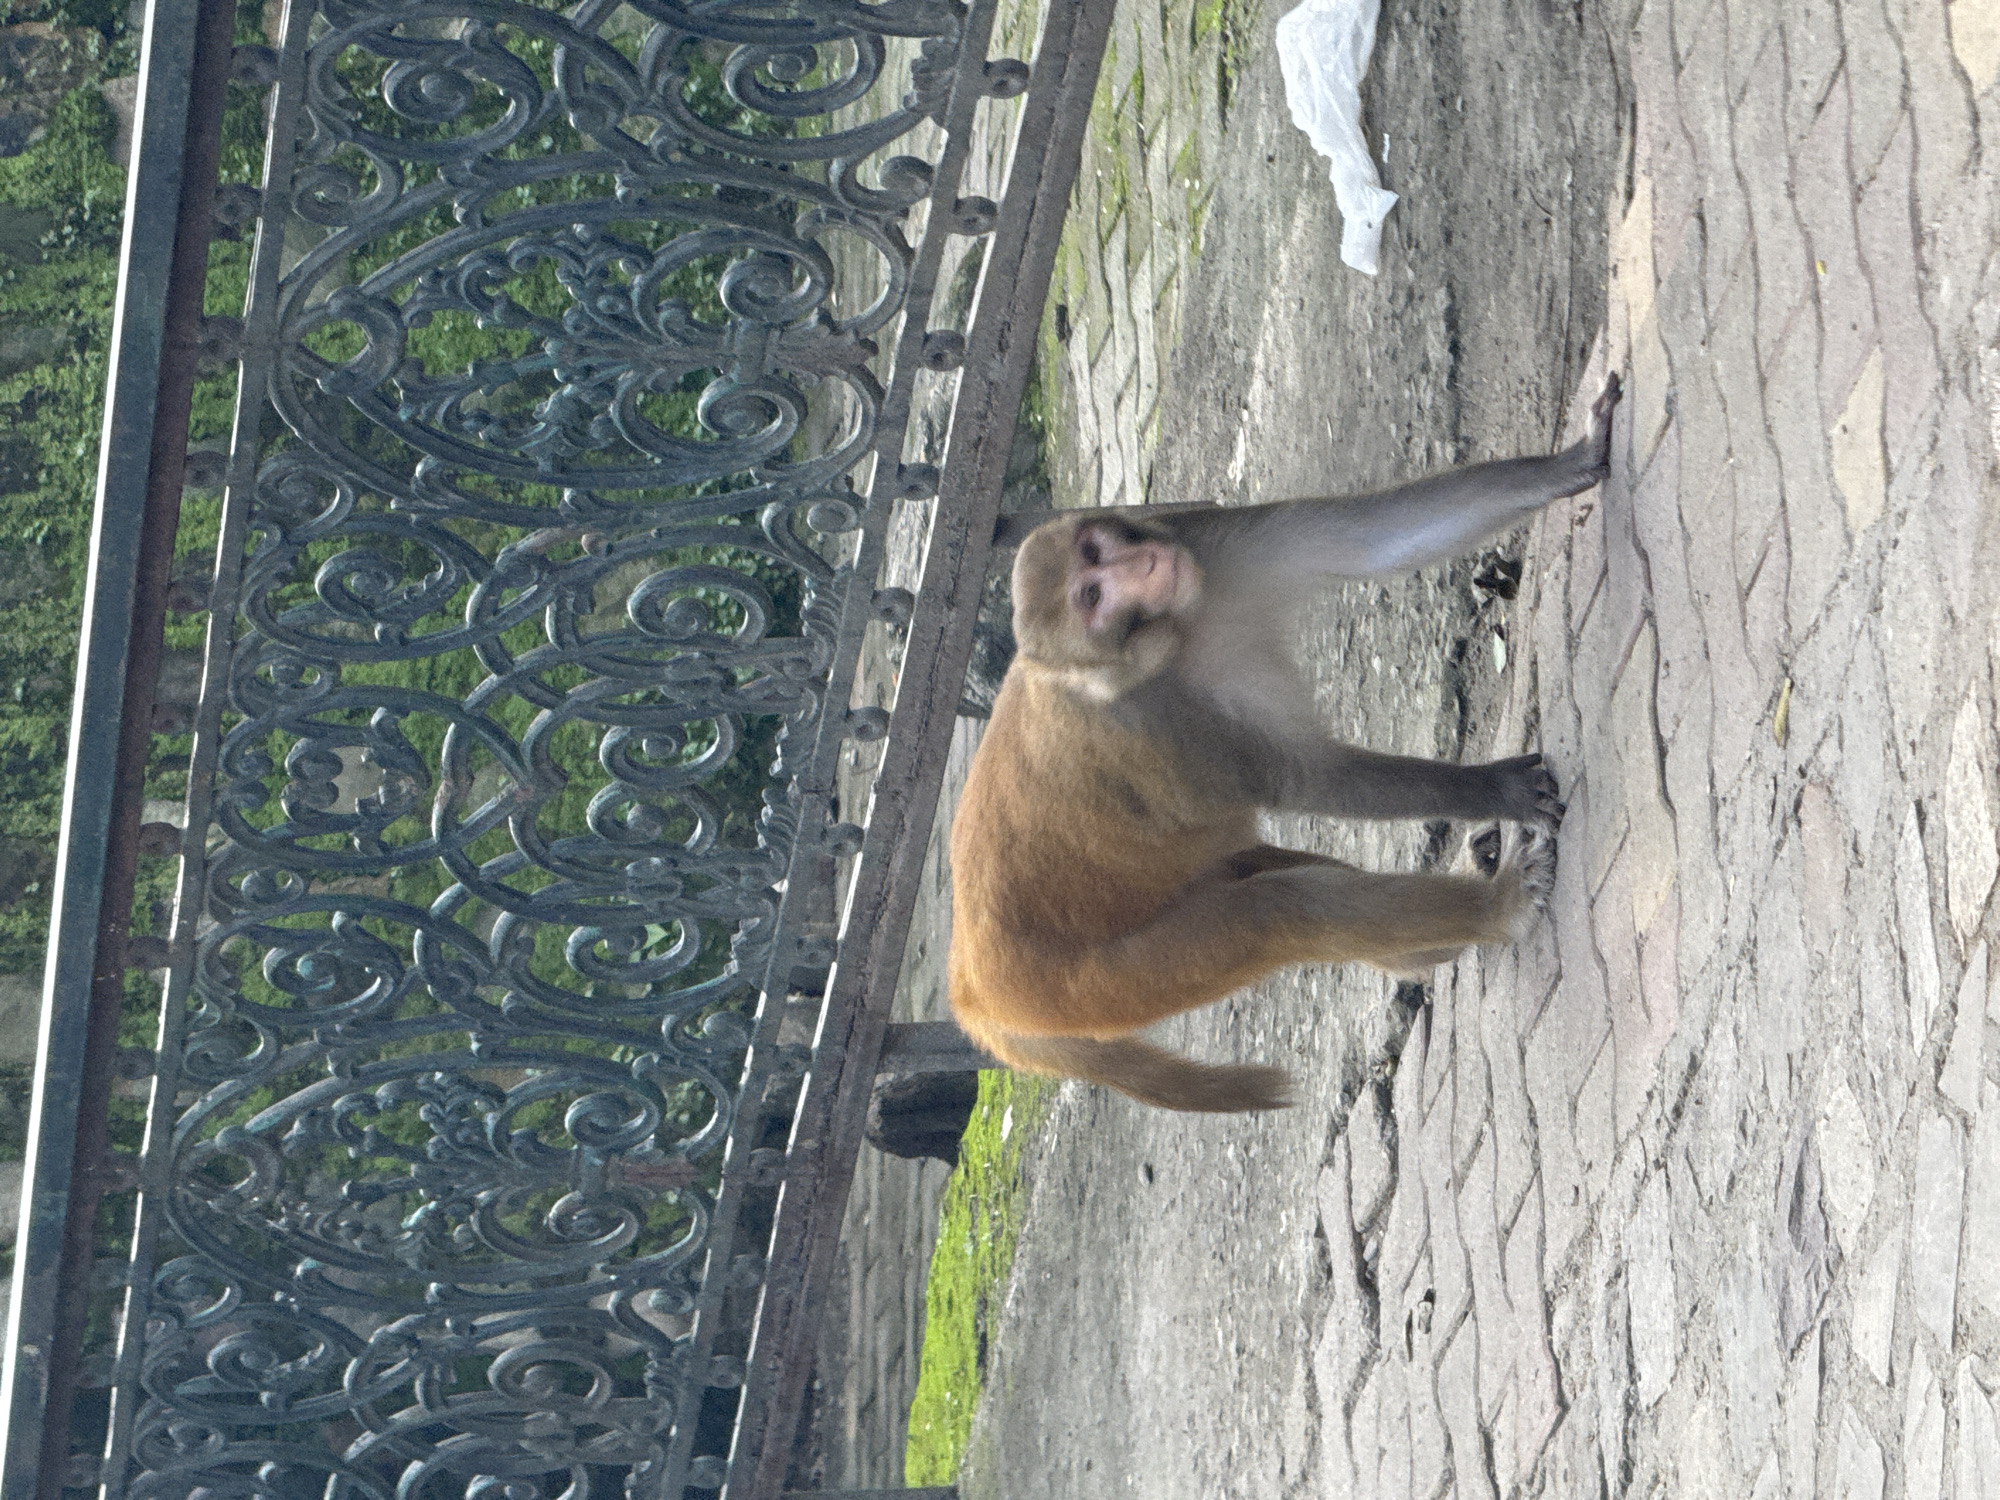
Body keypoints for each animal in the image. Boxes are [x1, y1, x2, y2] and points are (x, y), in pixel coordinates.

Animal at [946, 375, 1623, 1112]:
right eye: (1094, 596)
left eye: (1096, 556)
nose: (1146, 562)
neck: (1172, 641)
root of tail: (972, 993)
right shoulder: (1168, 734)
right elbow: (1311, 778)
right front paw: (1496, 788)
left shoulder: (1205, 541)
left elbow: (1366, 539)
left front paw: (1572, 462)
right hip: (1090, 986)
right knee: (1274, 912)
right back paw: (1496, 910)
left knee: (1259, 870)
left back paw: (1412, 952)